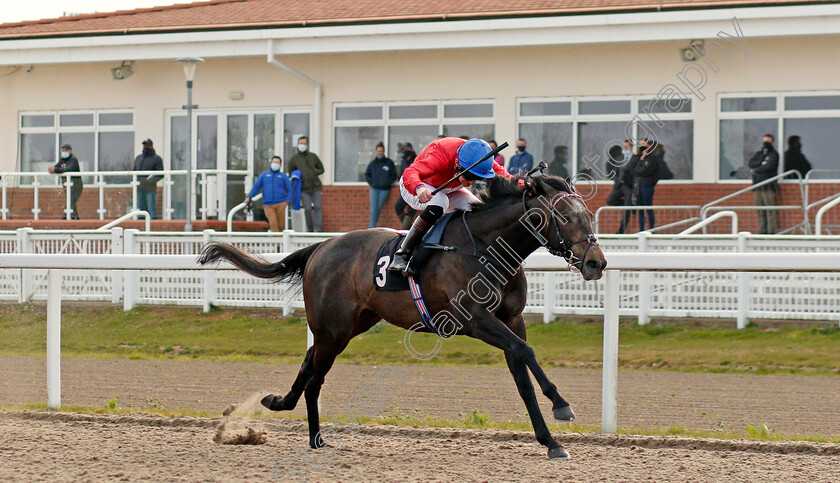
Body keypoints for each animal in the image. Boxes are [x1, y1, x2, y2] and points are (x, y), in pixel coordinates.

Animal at [197, 176, 604, 460]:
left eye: (587, 215)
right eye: (565, 217)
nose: (596, 263)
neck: (486, 246)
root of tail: (322, 246)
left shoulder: (511, 319)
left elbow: (522, 375)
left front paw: (551, 442)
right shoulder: (473, 320)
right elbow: (526, 352)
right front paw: (561, 405)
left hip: (346, 326)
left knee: (307, 365)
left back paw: (281, 404)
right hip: (333, 330)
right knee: (315, 379)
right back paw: (315, 438)